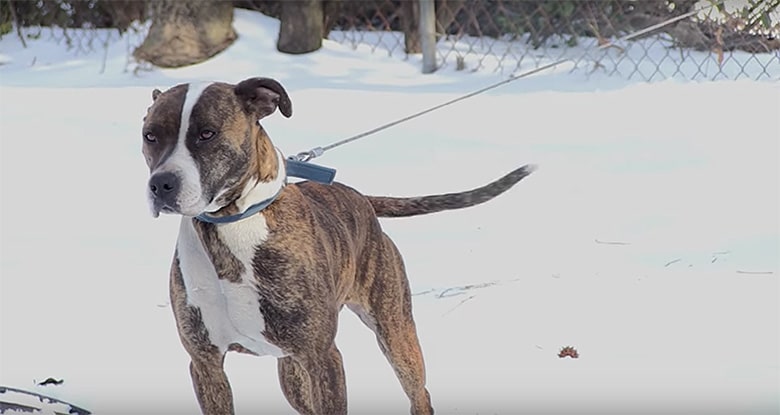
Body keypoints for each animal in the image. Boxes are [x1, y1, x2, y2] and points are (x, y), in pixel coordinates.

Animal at [142, 76, 536, 414]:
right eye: (149, 136)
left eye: (207, 134)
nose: (161, 184)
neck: (231, 227)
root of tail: (361, 198)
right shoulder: (207, 364)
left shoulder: (322, 358)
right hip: (292, 371)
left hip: (395, 332)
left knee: (419, 393)